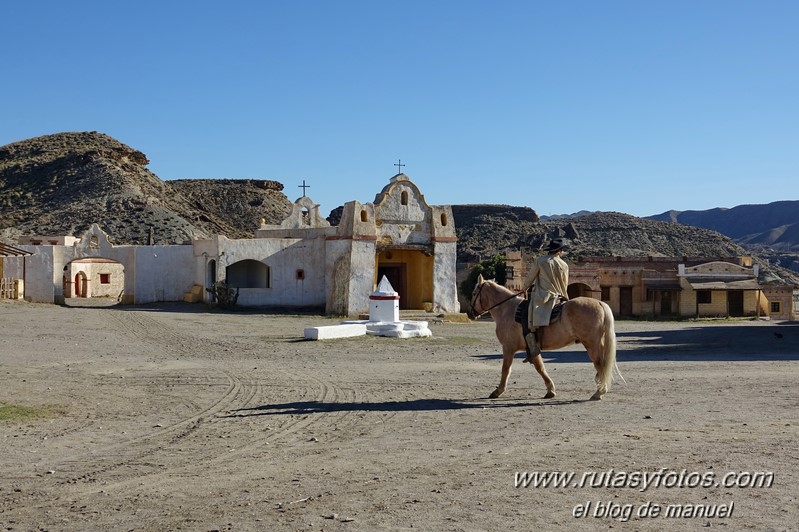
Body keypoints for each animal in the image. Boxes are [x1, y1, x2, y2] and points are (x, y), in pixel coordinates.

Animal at [472, 274, 620, 400]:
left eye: (474, 293)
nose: (470, 312)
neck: (507, 310)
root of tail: (600, 303)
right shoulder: (532, 348)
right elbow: (540, 368)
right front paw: (550, 390)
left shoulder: (508, 348)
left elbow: (505, 369)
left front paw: (498, 391)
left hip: (592, 344)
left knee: (600, 364)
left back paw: (599, 392)